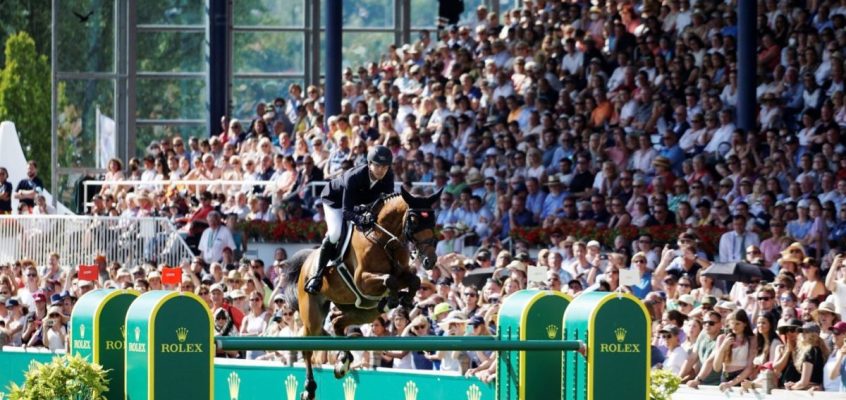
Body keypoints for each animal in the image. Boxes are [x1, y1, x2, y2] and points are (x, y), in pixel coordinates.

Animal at [284, 186, 444, 398]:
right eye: (414, 220)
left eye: (433, 220)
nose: (429, 260)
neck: (385, 240)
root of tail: (308, 260)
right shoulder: (363, 281)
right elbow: (390, 279)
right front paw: (394, 299)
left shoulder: (402, 272)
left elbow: (413, 279)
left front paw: (405, 299)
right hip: (313, 313)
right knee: (309, 345)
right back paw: (309, 389)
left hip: (363, 311)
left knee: (336, 322)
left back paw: (343, 362)